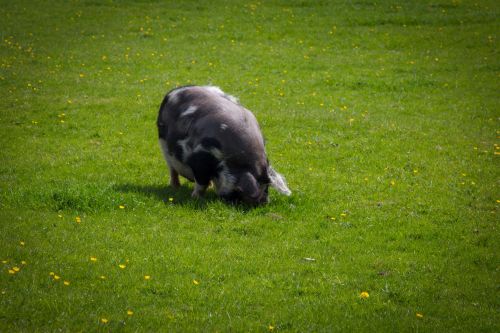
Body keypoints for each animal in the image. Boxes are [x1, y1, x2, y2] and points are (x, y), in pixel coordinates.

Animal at [155, 85, 290, 205]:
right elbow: (201, 183)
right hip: (163, 145)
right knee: (172, 169)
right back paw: (175, 187)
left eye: (267, 187)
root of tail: (175, 90)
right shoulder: (199, 159)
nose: (263, 202)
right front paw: (195, 198)